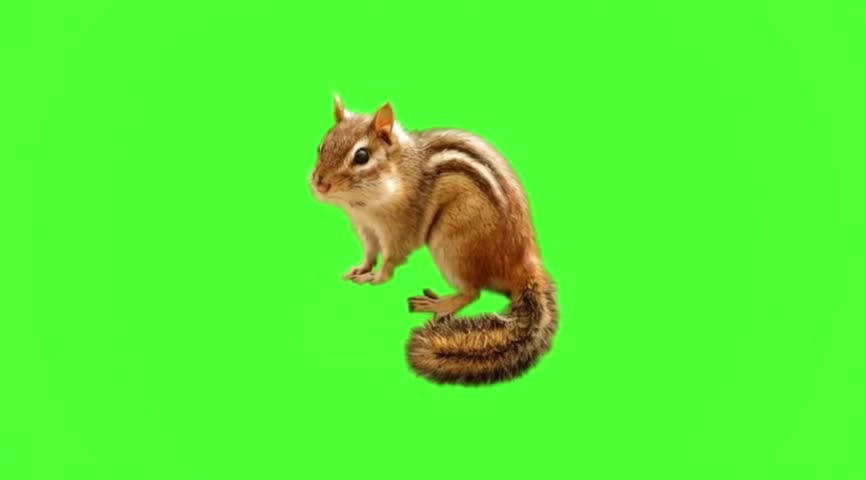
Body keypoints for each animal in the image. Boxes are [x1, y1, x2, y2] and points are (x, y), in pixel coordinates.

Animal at [310, 94, 559, 385]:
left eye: (362, 156)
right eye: (321, 145)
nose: (319, 184)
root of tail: (523, 263)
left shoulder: (399, 229)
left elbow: (390, 260)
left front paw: (376, 277)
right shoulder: (364, 227)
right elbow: (370, 253)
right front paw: (360, 269)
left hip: (452, 245)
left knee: (472, 291)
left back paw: (439, 304)